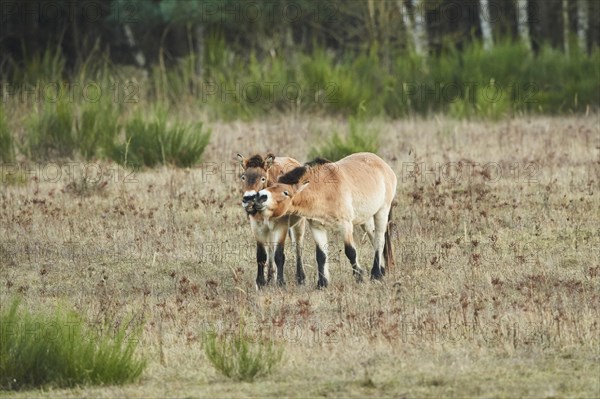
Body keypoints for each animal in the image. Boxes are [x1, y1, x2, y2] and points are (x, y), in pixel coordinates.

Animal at [238, 153, 308, 288]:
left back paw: (301, 278)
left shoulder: (281, 227)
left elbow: (279, 255)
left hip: (298, 225)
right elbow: (261, 255)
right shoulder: (257, 227)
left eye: (263, 178)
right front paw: (261, 282)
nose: (249, 199)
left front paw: (281, 282)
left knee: (298, 248)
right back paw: (270, 278)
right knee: (270, 250)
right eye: (243, 177)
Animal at [254, 152, 398, 288]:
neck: (325, 190)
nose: (260, 197)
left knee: (379, 240)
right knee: (374, 238)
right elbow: (321, 256)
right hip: (366, 219)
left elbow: (350, 252)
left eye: (285, 192)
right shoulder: (317, 227)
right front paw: (322, 283)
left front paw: (359, 278)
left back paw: (376, 274)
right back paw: (381, 271)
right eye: (273, 186)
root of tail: (384, 165)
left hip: (382, 212)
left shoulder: (346, 225)